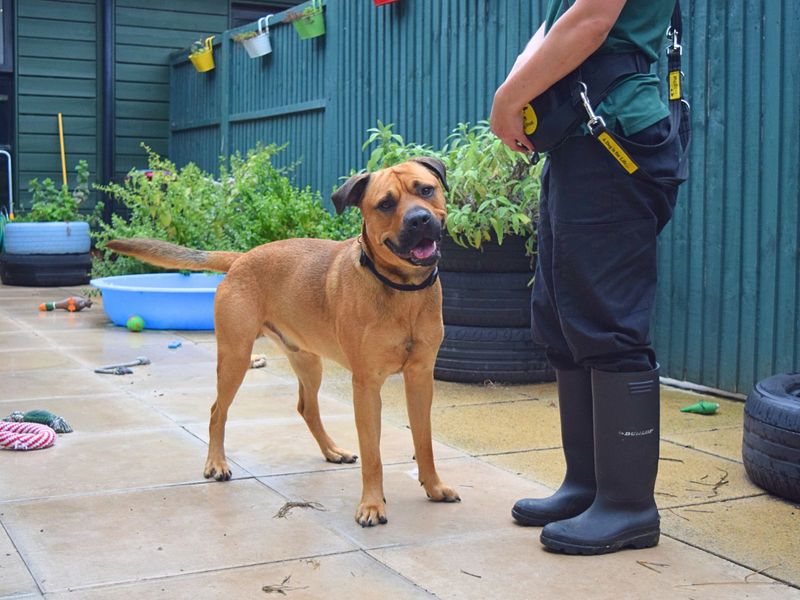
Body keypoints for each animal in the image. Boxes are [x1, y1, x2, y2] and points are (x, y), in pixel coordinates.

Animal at [106, 158, 460, 524]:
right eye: (386, 204)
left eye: (426, 189)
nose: (419, 219)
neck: (403, 291)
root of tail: (241, 258)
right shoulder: (366, 385)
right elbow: (373, 453)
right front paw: (372, 504)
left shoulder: (420, 378)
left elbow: (424, 442)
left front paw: (434, 487)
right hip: (235, 358)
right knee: (218, 410)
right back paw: (216, 463)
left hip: (308, 361)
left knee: (307, 408)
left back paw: (332, 450)